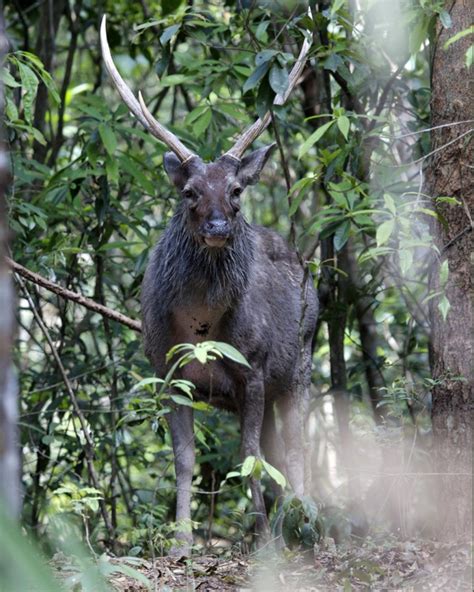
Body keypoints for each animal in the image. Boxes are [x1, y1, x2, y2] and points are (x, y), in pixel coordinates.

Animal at [102, 15, 320, 556]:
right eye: (189, 192)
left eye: (237, 190)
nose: (220, 226)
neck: (201, 324)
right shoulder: (166, 369)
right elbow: (183, 459)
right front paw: (181, 544)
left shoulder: (255, 367)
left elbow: (247, 455)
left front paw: (262, 540)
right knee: (279, 450)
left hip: (302, 360)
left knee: (297, 447)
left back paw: (303, 525)